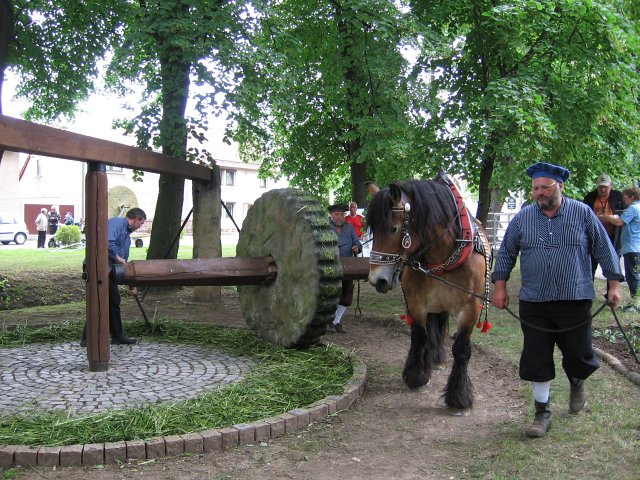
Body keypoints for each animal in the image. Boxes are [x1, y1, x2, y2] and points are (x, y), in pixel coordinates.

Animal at [364, 177, 490, 412]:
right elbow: (419, 336)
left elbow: (461, 349)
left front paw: (458, 396)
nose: (377, 280)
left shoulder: (470, 307)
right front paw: (417, 375)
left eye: (393, 229)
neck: (442, 256)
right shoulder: (416, 302)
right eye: (373, 230)